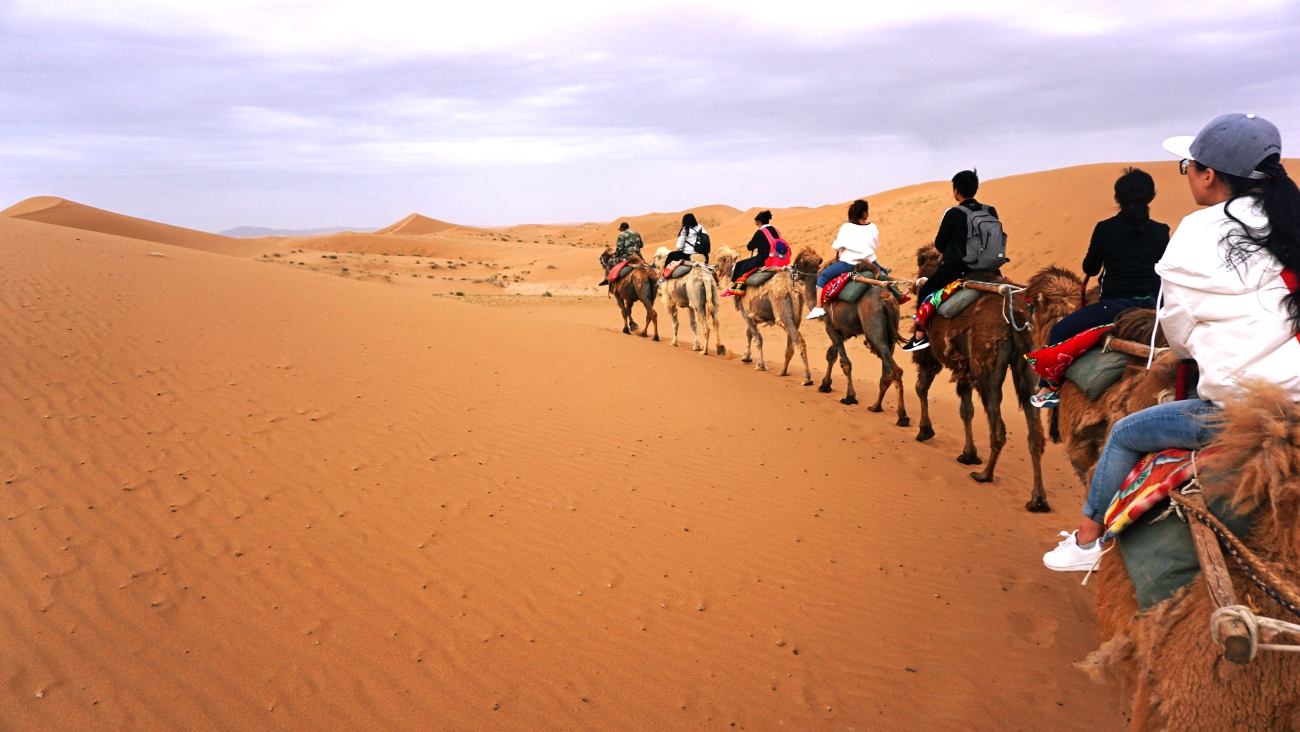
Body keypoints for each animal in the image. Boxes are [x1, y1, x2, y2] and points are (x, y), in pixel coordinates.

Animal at [717, 245, 816, 387]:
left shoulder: (745, 313)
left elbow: (758, 338)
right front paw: (746, 357)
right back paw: (783, 371)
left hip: (781, 309)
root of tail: (792, 288)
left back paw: (807, 378)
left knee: (798, 339)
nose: (716, 270)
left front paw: (760, 365)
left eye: (720, 259)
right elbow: (750, 333)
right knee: (791, 343)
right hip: (796, 315)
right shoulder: (752, 315)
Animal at [816, 263, 909, 426]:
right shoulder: (842, 331)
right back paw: (876, 406)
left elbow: (844, 362)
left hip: (874, 329)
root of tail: (886, 299)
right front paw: (825, 385)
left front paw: (849, 397)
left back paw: (903, 417)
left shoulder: (830, 326)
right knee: (887, 370)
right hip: (890, 333)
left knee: (894, 369)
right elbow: (832, 355)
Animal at [909, 244, 1050, 509]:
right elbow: (966, 410)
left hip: (987, 365)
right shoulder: (964, 366)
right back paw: (1037, 499)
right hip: (1030, 366)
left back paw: (985, 475)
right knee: (1035, 433)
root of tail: (1018, 317)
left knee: (998, 427)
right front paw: (968, 454)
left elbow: (922, 386)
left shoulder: (931, 353)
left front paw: (925, 430)